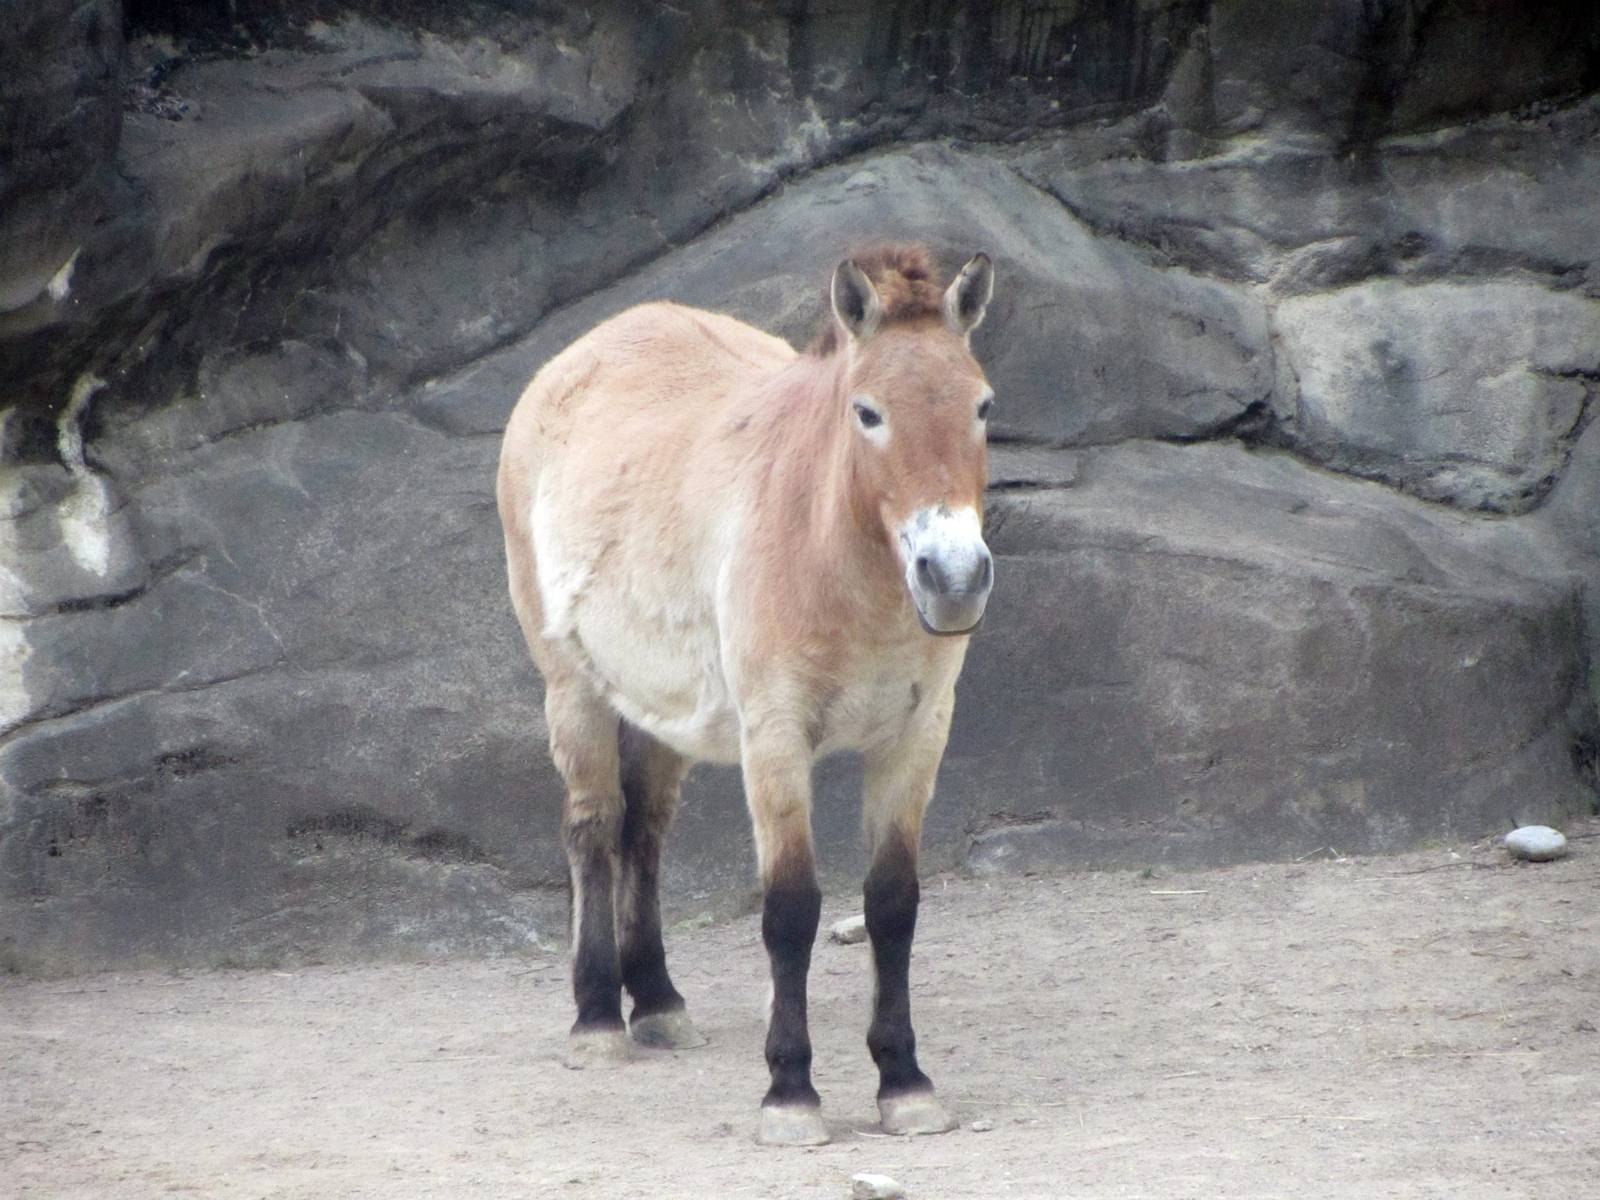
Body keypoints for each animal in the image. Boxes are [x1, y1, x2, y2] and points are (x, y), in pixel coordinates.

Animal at [495, 244, 996, 1146]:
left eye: (982, 406)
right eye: (868, 413)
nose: (955, 577)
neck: (836, 554)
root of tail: (578, 359)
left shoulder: (915, 737)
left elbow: (892, 904)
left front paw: (905, 1084)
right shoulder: (775, 737)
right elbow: (791, 909)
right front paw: (790, 1093)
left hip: (661, 710)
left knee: (644, 831)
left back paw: (657, 1002)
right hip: (574, 690)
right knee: (594, 829)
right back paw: (597, 1018)